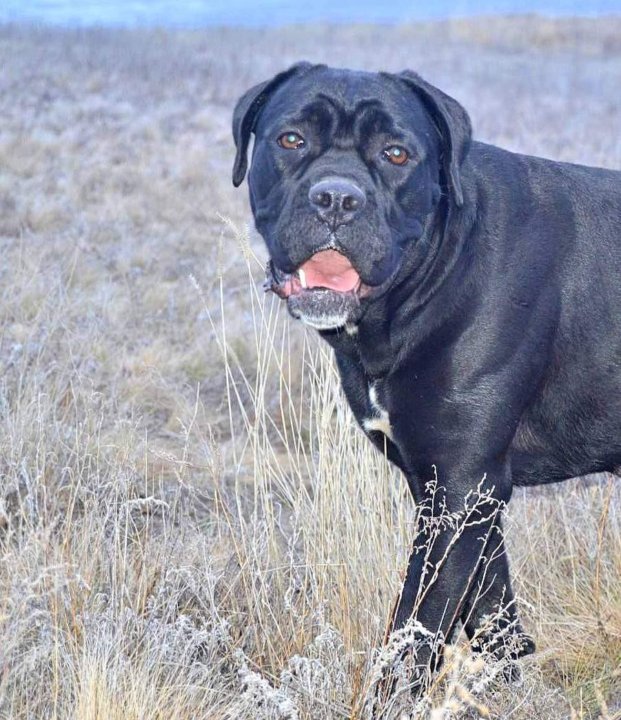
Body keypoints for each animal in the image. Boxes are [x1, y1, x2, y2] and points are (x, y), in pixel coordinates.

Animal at [231, 64, 620, 688]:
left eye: (396, 153)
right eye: (291, 139)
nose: (336, 197)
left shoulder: (460, 489)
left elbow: (414, 630)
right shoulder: (458, 489)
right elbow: (490, 606)